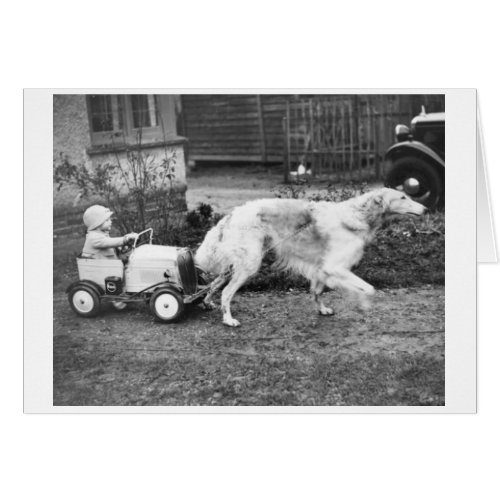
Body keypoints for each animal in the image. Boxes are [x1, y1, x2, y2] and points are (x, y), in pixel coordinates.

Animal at [195, 189, 426, 326]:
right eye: (403, 197)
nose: (426, 208)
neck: (357, 216)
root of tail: (232, 214)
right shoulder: (335, 267)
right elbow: (369, 289)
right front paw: (363, 305)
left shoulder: (321, 268)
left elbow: (317, 292)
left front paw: (322, 310)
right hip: (249, 264)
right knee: (226, 293)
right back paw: (228, 319)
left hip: (238, 265)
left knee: (212, 285)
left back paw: (207, 303)